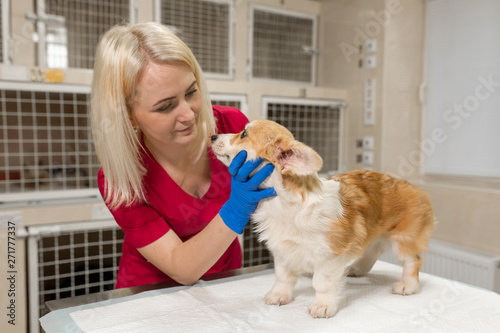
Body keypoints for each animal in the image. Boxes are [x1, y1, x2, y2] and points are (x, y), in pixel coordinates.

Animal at [209, 118, 436, 316]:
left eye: (243, 134)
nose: (212, 136)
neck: (281, 204)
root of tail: (415, 188)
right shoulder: (283, 251)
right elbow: (283, 277)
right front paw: (279, 296)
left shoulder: (329, 257)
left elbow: (323, 283)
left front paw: (323, 305)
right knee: (373, 250)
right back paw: (357, 269)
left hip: (404, 239)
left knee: (413, 261)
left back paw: (408, 285)